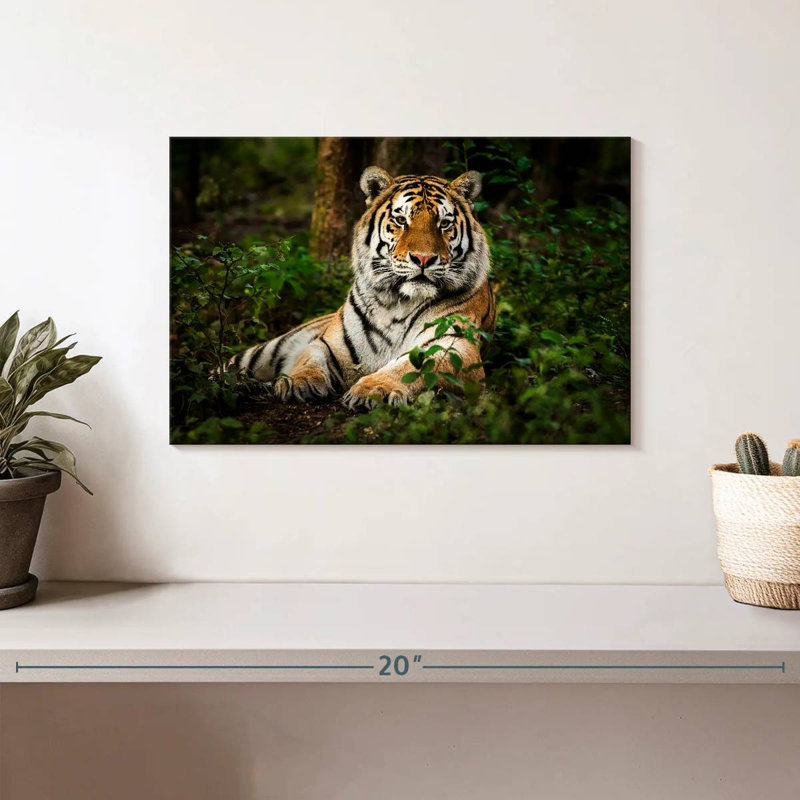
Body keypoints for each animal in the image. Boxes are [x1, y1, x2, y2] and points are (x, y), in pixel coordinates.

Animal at [230, 166, 496, 410]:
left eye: (444, 223)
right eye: (401, 220)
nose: (423, 259)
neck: (398, 303)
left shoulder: (455, 347)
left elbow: (409, 367)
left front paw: (374, 389)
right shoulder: (327, 344)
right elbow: (308, 359)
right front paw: (298, 382)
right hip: (266, 351)